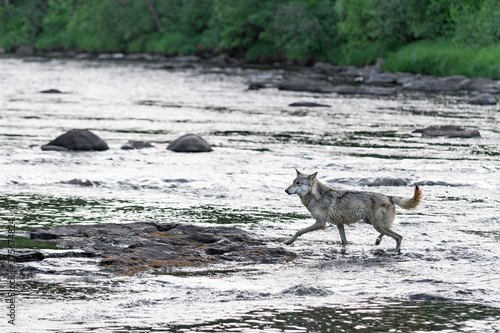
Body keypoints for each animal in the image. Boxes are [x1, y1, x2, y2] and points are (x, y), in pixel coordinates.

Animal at [286, 170, 422, 250]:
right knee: (390, 230)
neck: (317, 196)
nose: (286, 190)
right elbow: (344, 241)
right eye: (292, 182)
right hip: (373, 223)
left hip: (376, 225)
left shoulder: (321, 223)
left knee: (398, 237)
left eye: (298, 183)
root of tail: (389, 196)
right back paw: (378, 241)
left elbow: (299, 231)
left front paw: (289, 241)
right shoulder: (339, 224)